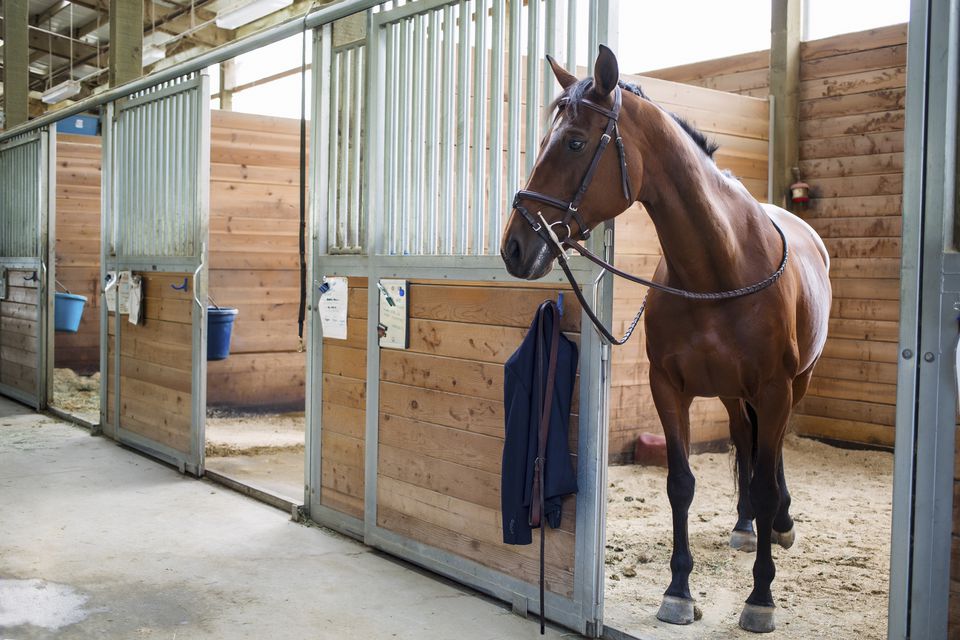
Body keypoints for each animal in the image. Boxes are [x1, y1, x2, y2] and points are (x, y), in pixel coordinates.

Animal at [502, 47, 832, 632]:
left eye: (575, 142)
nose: (514, 247)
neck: (719, 269)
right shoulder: (668, 388)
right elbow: (681, 483)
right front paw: (678, 592)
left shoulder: (773, 390)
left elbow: (765, 483)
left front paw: (760, 598)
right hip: (733, 393)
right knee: (744, 441)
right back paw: (745, 526)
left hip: (796, 385)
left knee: (772, 459)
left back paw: (779, 524)